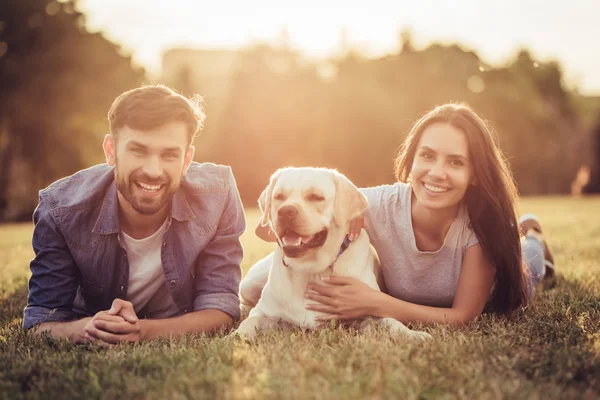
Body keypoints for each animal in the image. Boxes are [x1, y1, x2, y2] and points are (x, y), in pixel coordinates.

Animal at [236, 166, 432, 340]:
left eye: (316, 197)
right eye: (279, 197)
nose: (285, 211)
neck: (312, 269)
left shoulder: (369, 309)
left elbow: (392, 323)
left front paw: (414, 335)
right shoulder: (264, 312)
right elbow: (249, 322)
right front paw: (235, 337)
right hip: (250, 284)